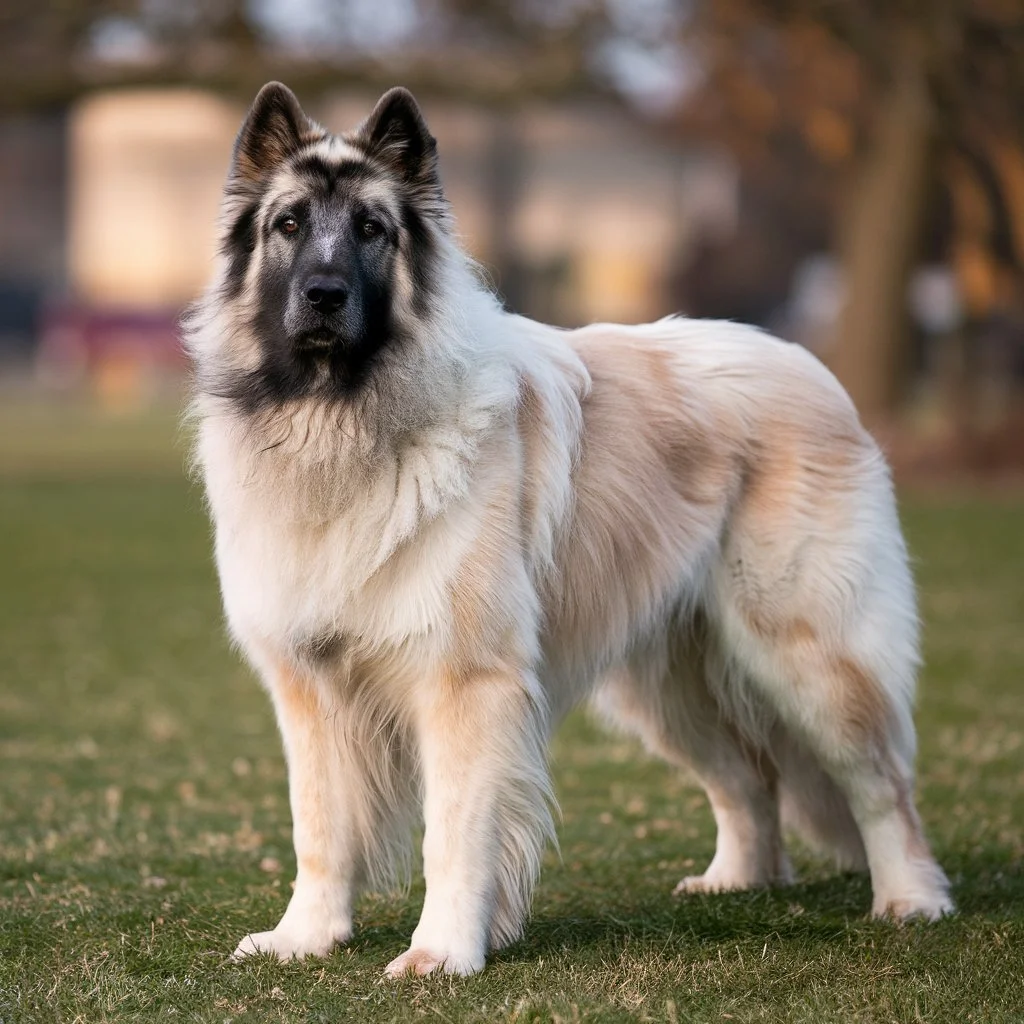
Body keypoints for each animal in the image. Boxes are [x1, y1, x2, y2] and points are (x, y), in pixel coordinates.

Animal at [182, 81, 950, 974]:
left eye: (372, 230)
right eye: (289, 225)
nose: (324, 295)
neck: (341, 417)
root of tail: (810, 369)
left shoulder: (465, 682)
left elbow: (454, 834)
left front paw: (441, 952)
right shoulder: (310, 685)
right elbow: (320, 827)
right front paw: (304, 937)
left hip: (807, 652)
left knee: (881, 784)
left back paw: (911, 898)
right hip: (670, 683)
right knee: (748, 776)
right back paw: (737, 881)